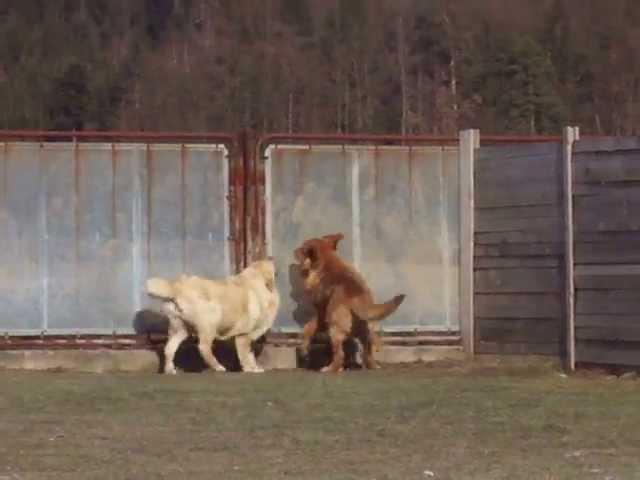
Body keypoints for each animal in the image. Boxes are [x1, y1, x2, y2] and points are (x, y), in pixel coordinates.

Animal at [148, 258, 282, 376]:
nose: (271, 257)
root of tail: (176, 287)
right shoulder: (243, 336)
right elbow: (245, 356)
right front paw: (249, 369)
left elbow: (250, 355)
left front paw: (255, 368)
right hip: (211, 319)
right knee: (203, 347)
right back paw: (218, 367)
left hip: (180, 329)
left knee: (169, 349)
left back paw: (169, 370)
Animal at [296, 234, 404, 374]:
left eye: (302, 249)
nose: (294, 250)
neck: (328, 260)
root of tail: (358, 298)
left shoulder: (320, 312)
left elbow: (308, 329)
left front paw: (304, 347)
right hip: (366, 332)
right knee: (367, 352)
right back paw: (372, 366)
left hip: (334, 329)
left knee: (339, 355)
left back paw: (331, 368)